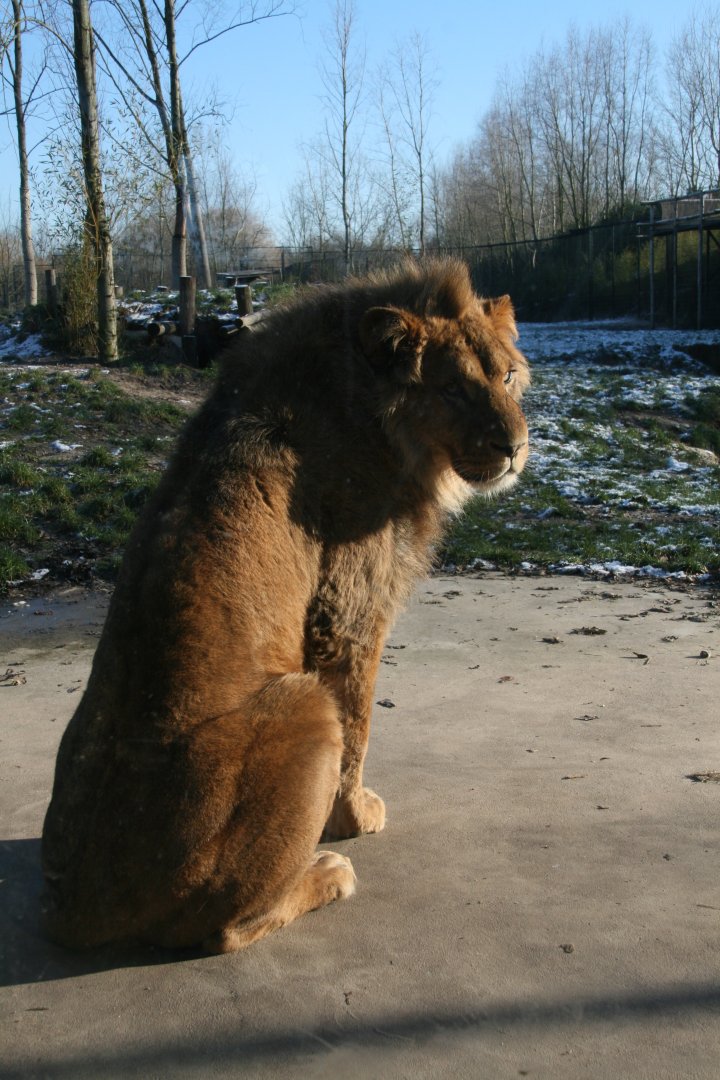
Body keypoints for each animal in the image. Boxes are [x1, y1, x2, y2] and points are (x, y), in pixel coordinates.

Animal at [40, 258, 530, 953]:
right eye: (456, 391)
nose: (516, 447)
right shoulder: (350, 613)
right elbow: (359, 728)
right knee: (230, 927)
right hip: (302, 700)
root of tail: (77, 910)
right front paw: (353, 816)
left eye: (508, 376)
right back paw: (326, 872)